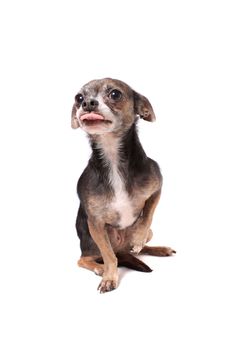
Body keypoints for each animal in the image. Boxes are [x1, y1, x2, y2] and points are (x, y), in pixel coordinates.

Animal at [71, 78, 175, 292]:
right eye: (79, 97)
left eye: (115, 94)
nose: (87, 103)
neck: (112, 159)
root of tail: (122, 248)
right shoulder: (95, 223)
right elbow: (109, 257)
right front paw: (109, 277)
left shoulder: (157, 190)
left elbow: (147, 216)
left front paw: (138, 237)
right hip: (91, 241)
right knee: (85, 258)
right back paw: (98, 267)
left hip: (149, 234)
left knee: (139, 249)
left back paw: (157, 249)